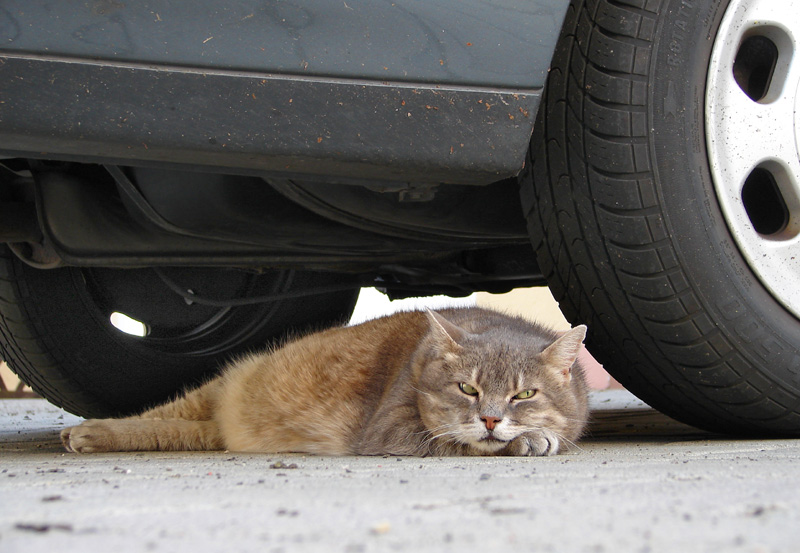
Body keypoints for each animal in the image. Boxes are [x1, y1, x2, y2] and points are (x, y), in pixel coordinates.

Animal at [61, 306, 588, 458]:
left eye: (524, 394)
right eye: (468, 389)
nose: (492, 419)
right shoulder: (390, 430)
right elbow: (457, 441)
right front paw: (525, 440)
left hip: (209, 427)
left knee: (173, 430)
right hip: (209, 391)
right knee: (157, 413)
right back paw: (87, 431)